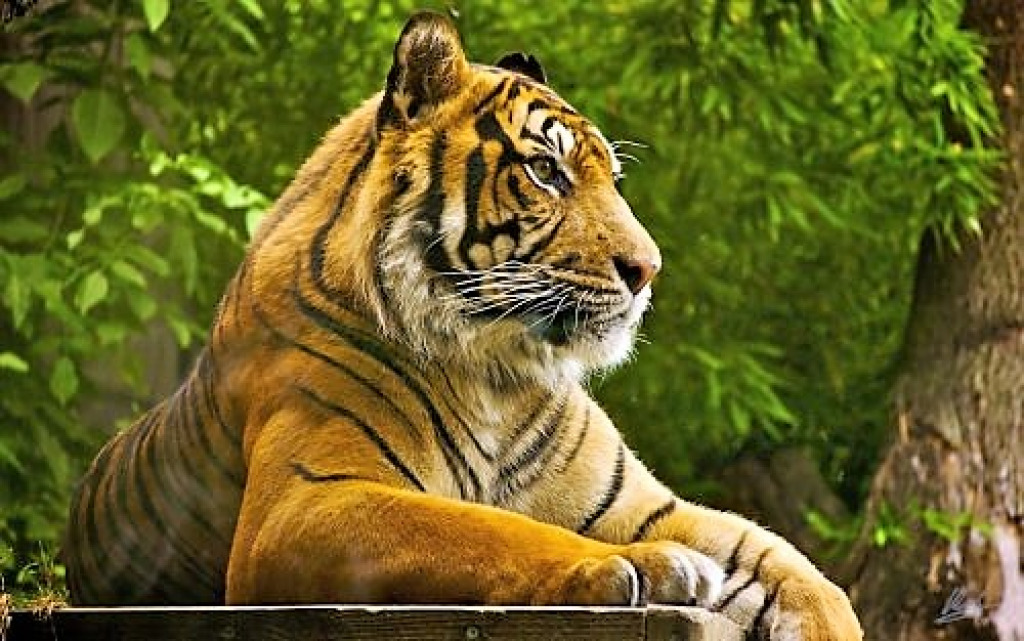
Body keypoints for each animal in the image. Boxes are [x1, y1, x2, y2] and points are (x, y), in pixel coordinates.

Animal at [63, 11, 862, 640]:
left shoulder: (643, 503)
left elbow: (793, 566)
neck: (498, 371)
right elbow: (491, 527)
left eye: (609, 178)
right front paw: (629, 565)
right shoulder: (305, 501)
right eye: (545, 172)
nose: (648, 269)